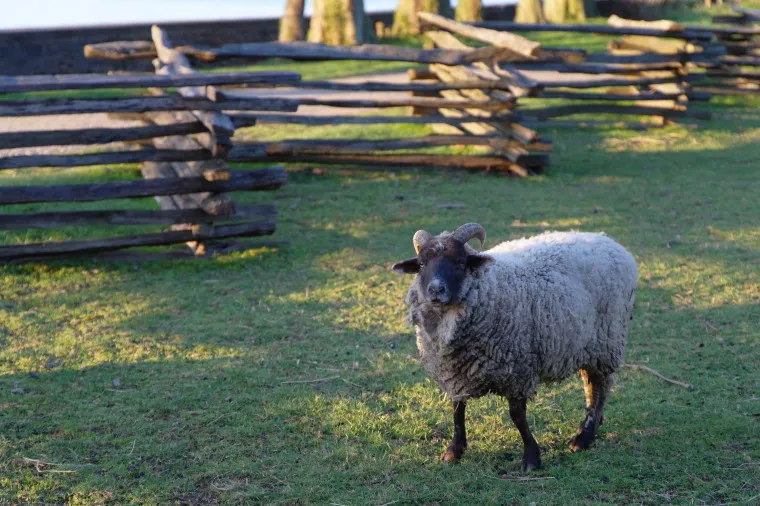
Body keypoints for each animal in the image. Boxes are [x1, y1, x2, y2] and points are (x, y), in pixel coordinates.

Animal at [391, 223, 637, 471]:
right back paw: (590, 428)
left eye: (460, 262)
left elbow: (517, 415)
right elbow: (457, 409)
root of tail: (607, 240)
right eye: (422, 264)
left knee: (600, 387)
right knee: (590, 384)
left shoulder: (517, 369)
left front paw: (531, 457)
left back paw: (583, 436)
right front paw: (454, 450)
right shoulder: (455, 370)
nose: (435, 290)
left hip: (606, 340)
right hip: (586, 344)